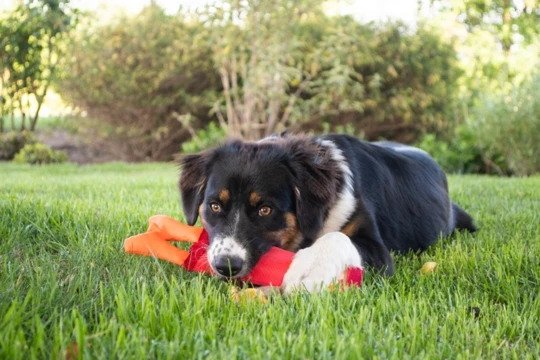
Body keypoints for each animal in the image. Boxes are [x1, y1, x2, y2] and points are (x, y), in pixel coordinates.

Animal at [179, 134, 474, 294]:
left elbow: (337, 238)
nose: (226, 266)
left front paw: (309, 268)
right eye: (215, 206)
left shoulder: (377, 250)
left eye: (265, 209)